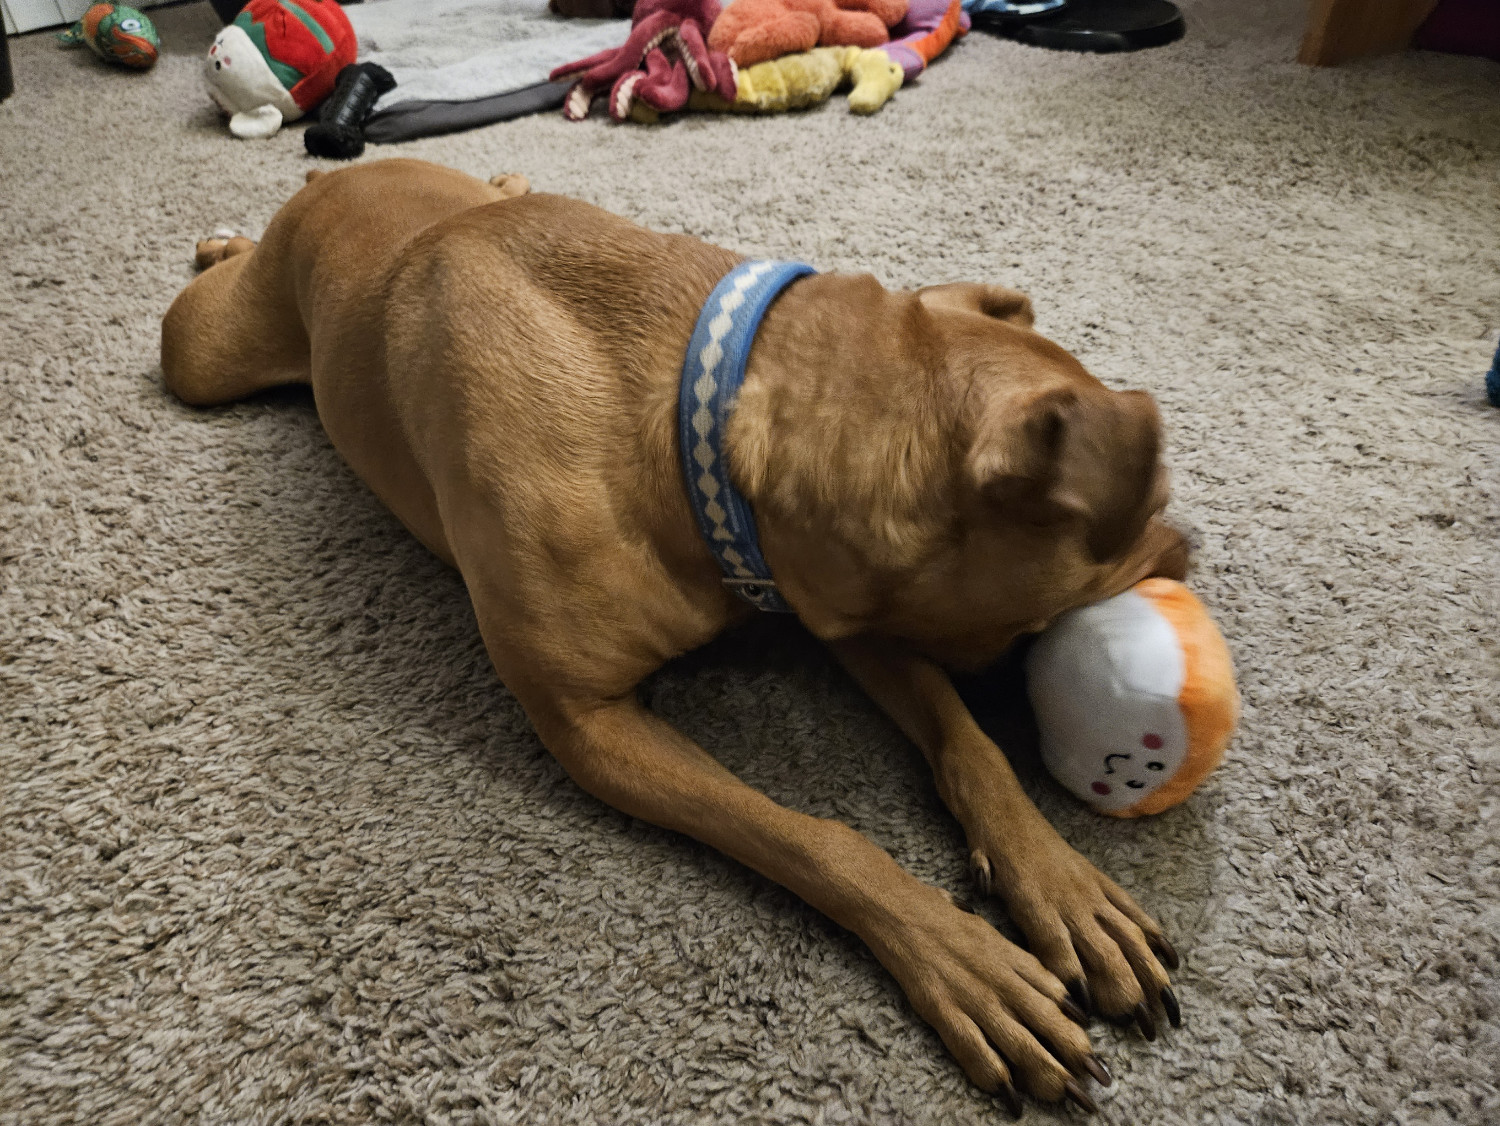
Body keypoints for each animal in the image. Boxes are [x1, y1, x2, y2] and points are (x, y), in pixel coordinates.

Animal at [164, 160, 1188, 1121]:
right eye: (1151, 509)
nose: (1189, 553)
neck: (694, 418)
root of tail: (337, 174)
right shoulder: (595, 730)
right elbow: (815, 840)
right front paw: (962, 959)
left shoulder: (844, 606)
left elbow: (971, 746)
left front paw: (1060, 886)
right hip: (206, 352)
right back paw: (221, 242)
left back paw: (500, 177)